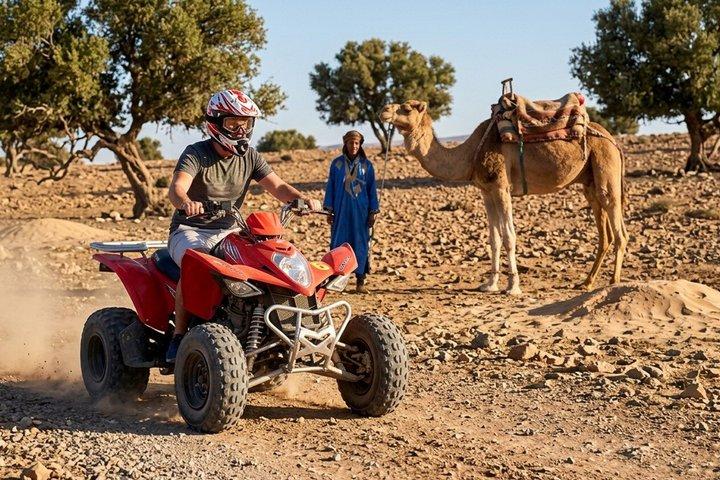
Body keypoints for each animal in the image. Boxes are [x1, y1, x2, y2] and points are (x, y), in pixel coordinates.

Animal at [379, 100, 627, 295]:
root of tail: (613, 140)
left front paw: (513, 287)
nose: (384, 110)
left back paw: (613, 282)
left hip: (605, 166)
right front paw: (489, 284)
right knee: (605, 232)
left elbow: (509, 236)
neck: (470, 153)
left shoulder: (501, 186)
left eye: (407, 107)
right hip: (589, 181)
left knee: (619, 229)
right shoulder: (486, 191)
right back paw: (586, 282)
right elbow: (494, 238)